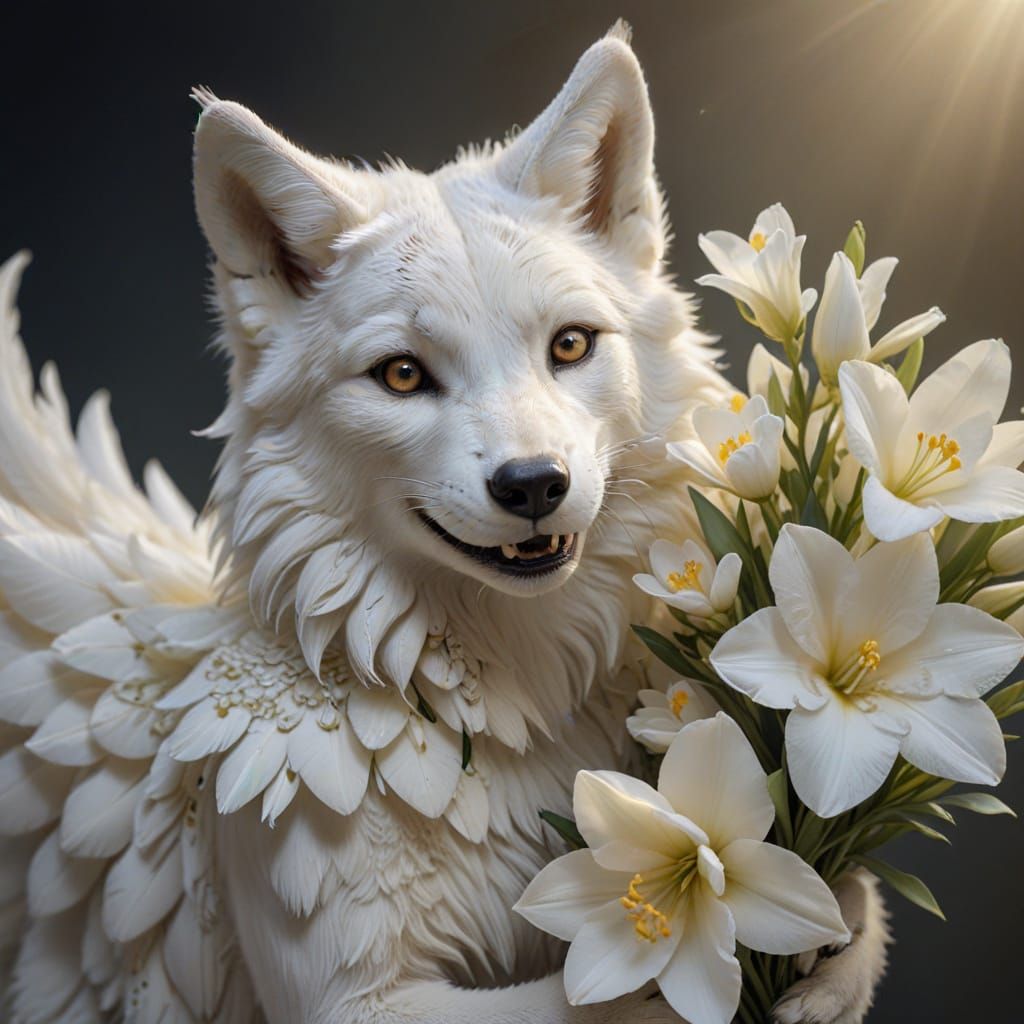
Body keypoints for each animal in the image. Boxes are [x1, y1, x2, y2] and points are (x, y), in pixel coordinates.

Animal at [0, 23, 888, 1024]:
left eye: (570, 344)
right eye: (401, 375)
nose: (534, 484)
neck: (503, 709)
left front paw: (832, 939)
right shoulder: (355, 1002)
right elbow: (607, 999)